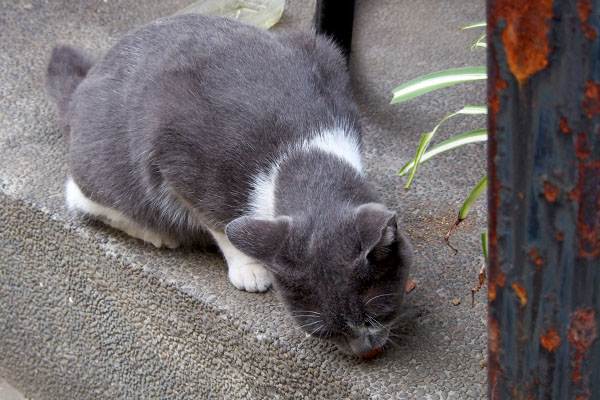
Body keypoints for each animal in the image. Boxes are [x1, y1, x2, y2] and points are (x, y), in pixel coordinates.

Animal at [45, 14, 412, 356]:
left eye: (377, 315)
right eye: (326, 333)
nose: (364, 350)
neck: (301, 152)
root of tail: (83, 86)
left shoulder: (326, 59)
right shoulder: (177, 155)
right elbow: (219, 222)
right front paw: (248, 267)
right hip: (105, 170)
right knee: (81, 197)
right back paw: (158, 234)